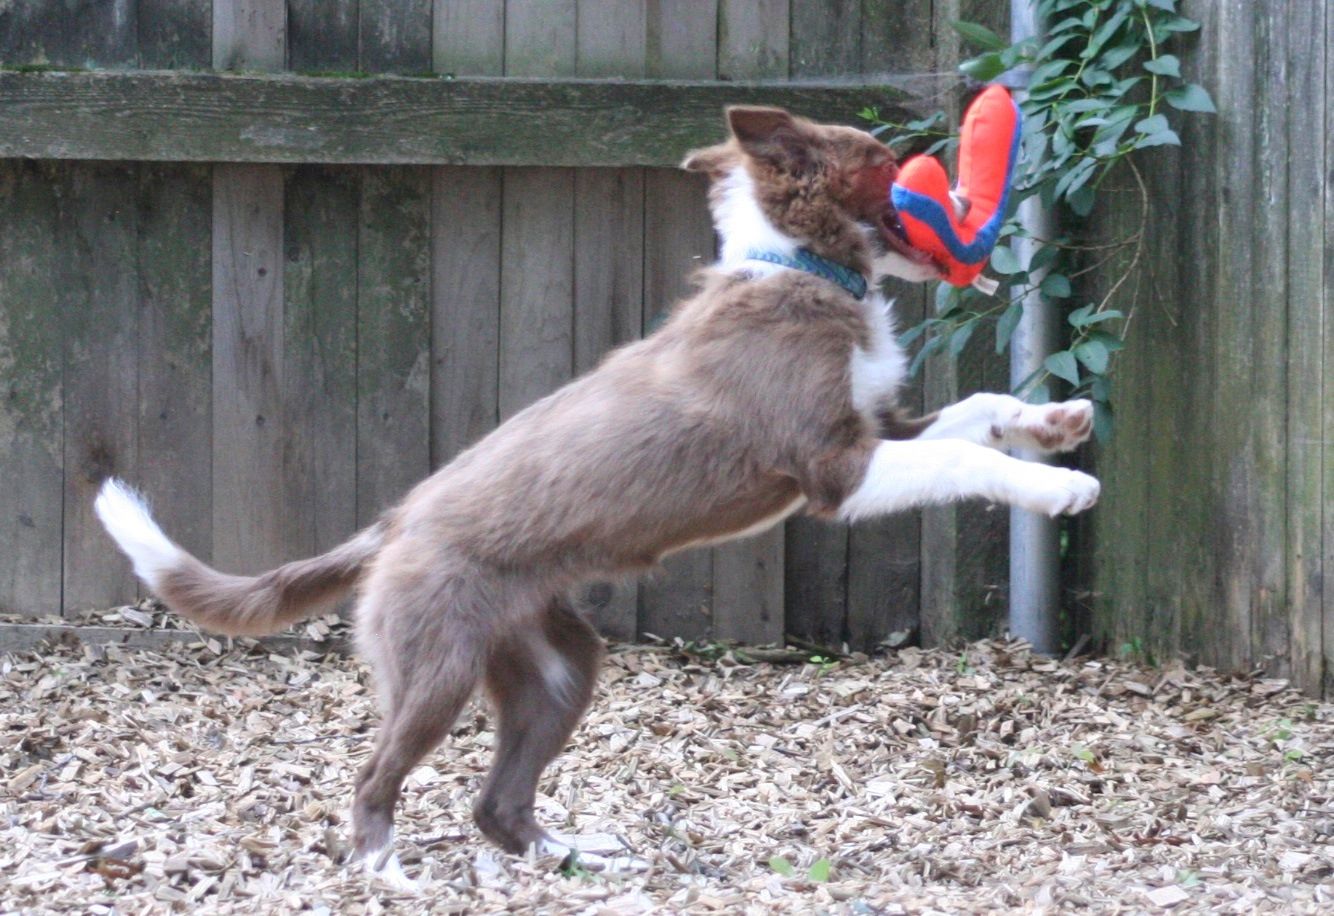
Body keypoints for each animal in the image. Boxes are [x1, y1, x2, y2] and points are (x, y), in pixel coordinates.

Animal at [95, 105, 1098, 889]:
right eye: (888, 167)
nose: (964, 203)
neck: (801, 270)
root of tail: (393, 522)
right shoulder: (834, 470)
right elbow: (965, 457)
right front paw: (1059, 486)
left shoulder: (879, 428)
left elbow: (979, 409)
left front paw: (1060, 422)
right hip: (438, 665)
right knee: (376, 775)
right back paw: (385, 869)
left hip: (556, 665)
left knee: (497, 801)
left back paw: (573, 854)